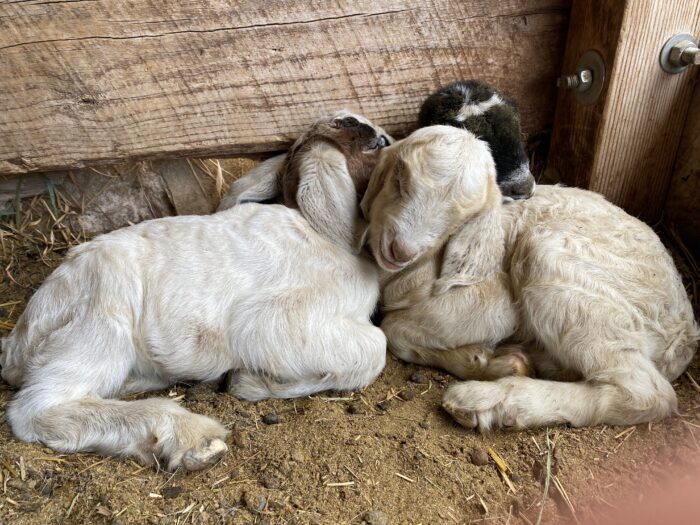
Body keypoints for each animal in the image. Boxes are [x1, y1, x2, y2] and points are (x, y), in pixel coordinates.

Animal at [0, 111, 392, 470]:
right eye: (382, 144)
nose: (352, 119)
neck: (321, 235)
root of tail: (20, 339)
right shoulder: (269, 322)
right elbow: (375, 349)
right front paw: (252, 383)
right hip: (99, 318)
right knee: (38, 408)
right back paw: (188, 436)